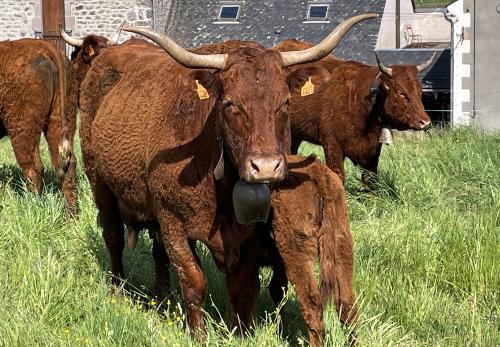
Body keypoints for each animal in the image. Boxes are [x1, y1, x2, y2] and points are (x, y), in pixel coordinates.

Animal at [227, 156, 356, 347]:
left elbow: (241, 292)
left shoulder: (243, 258)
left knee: (312, 303)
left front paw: (240, 334)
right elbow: (273, 290)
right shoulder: (274, 263)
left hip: (296, 252)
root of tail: (318, 172)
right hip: (342, 244)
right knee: (346, 303)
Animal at [274, 39, 434, 188]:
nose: (425, 121)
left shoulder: (373, 151)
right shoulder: (332, 145)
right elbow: (338, 177)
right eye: (401, 93)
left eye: (420, 91)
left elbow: (370, 180)